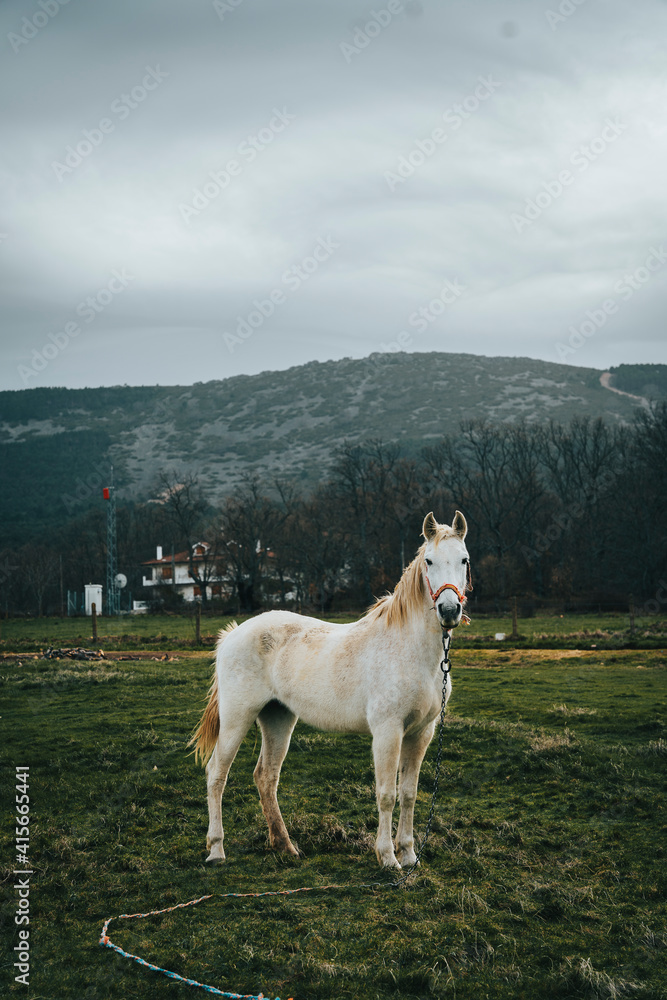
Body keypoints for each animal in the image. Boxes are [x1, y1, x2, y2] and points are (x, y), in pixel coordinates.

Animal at [190, 510, 471, 869]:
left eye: (464, 559)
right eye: (429, 561)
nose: (449, 611)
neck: (410, 649)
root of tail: (233, 634)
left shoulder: (421, 732)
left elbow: (409, 794)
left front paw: (408, 855)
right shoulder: (388, 731)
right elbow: (387, 794)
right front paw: (388, 858)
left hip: (278, 718)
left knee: (266, 776)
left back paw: (285, 846)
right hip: (237, 717)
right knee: (217, 774)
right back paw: (216, 850)